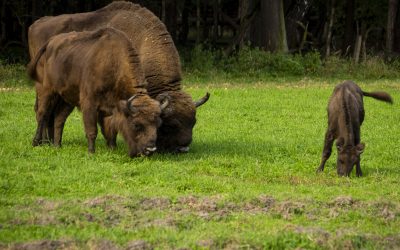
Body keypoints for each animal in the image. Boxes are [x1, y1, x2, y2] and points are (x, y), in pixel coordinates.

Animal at [27, 26, 169, 156]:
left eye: (158, 124)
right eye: (136, 124)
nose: (150, 149)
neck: (114, 63)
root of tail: (50, 42)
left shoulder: (110, 109)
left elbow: (110, 131)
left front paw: (112, 149)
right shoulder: (89, 104)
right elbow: (92, 130)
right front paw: (91, 152)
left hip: (66, 99)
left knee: (59, 119)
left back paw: (57, 146)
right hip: (47, 91)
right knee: (42, 114)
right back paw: (36, 142)